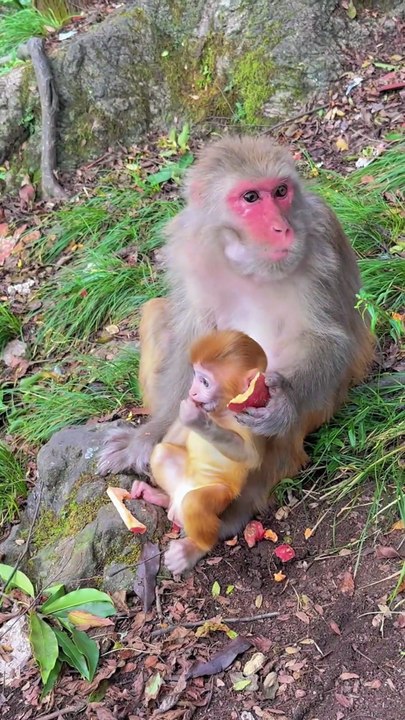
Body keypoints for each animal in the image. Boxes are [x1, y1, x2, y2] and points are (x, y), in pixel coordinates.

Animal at [131, 329, 268, 574]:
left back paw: (194, 548)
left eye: (204, 382)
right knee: (162, 454)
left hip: (222, 497)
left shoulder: (252, 419)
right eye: (195, 376)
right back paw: (160, 496)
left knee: (196, 503)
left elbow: (252, 458)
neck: (222, 413)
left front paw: (198, 421)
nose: (192, 391)